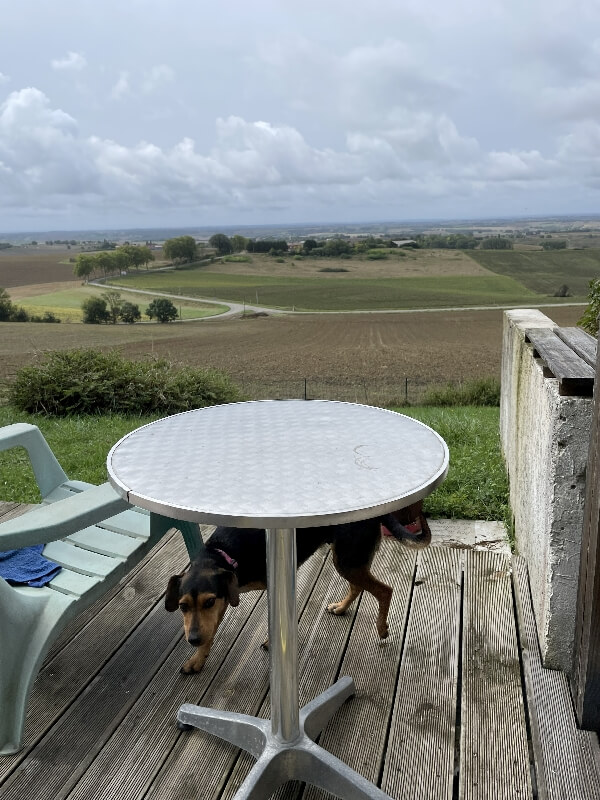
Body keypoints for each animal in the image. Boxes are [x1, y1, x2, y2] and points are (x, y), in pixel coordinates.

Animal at [166, 512, 424, 676]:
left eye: (209, 601)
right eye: (182, 606)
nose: (192, 639)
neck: (222, 552)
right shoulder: (224, 598)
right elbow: (209, 631)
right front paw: (197, 660)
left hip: (347, 559)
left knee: (385, 590)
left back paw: (382, 628)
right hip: (346, 559)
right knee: (358, 587)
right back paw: (341, 608)